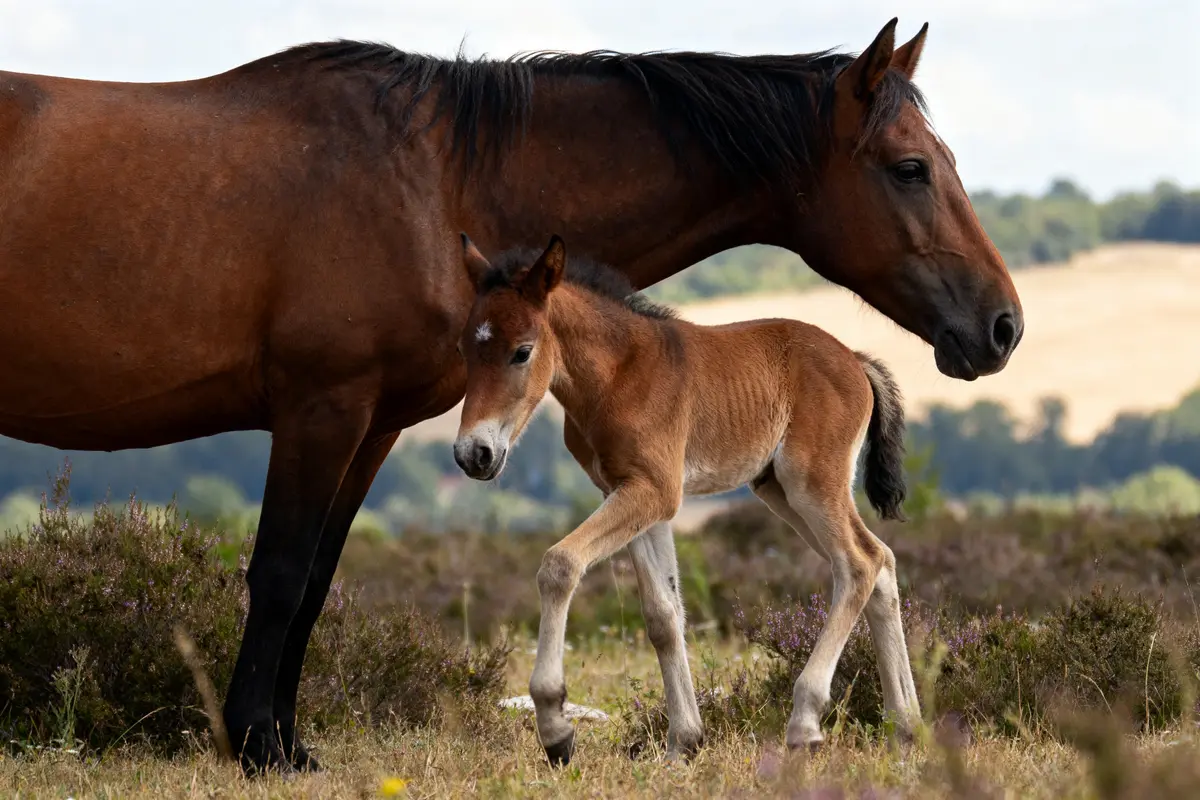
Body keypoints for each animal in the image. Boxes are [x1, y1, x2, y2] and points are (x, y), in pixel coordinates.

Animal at [453, 233, 914, 763]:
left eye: (522, 352)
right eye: (464, 349)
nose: (473, 454)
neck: (618, 373)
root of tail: (856, 360)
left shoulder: (654, 490)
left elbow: (560, 565)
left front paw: (556, 731)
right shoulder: (628, 493)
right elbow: (663, 615)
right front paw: (684, 742)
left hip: (811, 483)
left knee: (858, 563)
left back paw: (806, 723)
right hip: (779, 490)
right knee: (881, 560)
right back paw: (906, 726)